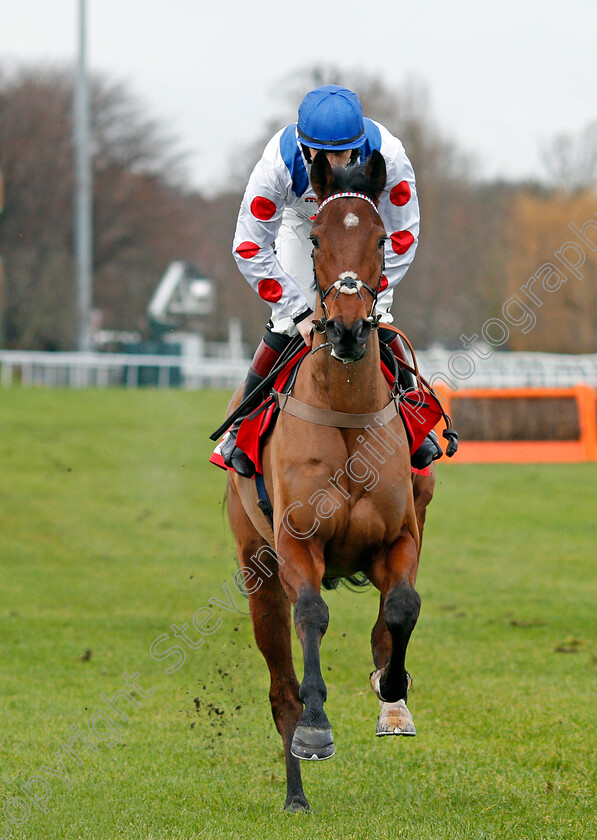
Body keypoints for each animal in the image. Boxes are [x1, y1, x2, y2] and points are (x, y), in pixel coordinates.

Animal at [226, 151, 436, 812]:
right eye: (316, 238)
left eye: (380, 238)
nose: (345, 329)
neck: (344, 409)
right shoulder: (297, 543)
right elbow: (313, 614)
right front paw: (317, 728)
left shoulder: (399, 536)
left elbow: (403, 605)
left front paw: (392, 694)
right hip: (257, 574)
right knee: (280, 686)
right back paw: (296, 792)